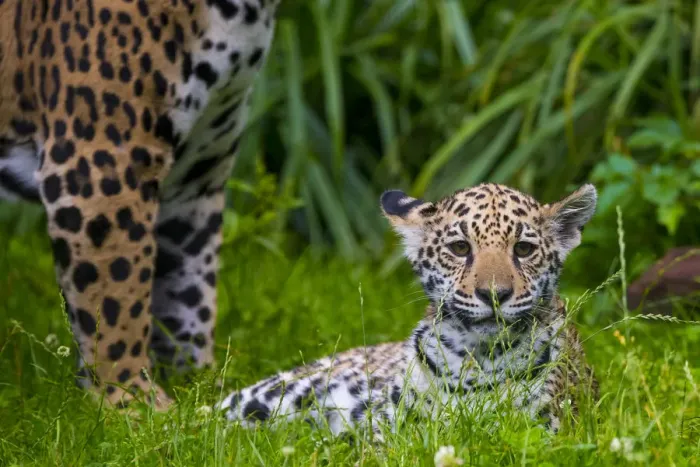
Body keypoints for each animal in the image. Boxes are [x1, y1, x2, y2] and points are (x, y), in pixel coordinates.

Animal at [0, 0, 280, 409]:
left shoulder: (196, 180)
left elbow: (189, 290)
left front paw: (197, 391)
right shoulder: (100, 165)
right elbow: (117, 299)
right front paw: (132, 401)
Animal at [217, 183, 600, 439]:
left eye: (523, 249)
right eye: (460, 248)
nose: (494, 294)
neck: (475, 359)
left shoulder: (547, 427)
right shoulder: (390, 426)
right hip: (278, 393)